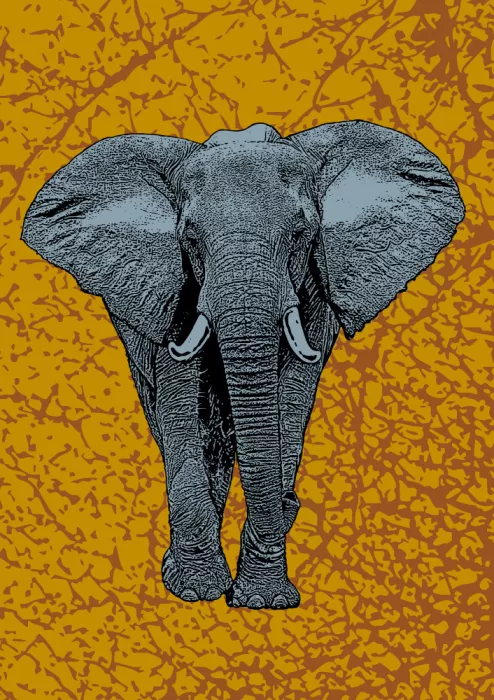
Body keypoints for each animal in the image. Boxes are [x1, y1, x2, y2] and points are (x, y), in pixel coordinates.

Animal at [21, 120, 465, 610]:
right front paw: (195, 591)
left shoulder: (316, 286)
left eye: (301, 235)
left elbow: (290, 400)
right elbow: (183, 406)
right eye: (190, 239)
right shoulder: (175, 288)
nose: (293, 500)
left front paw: (263, 601)